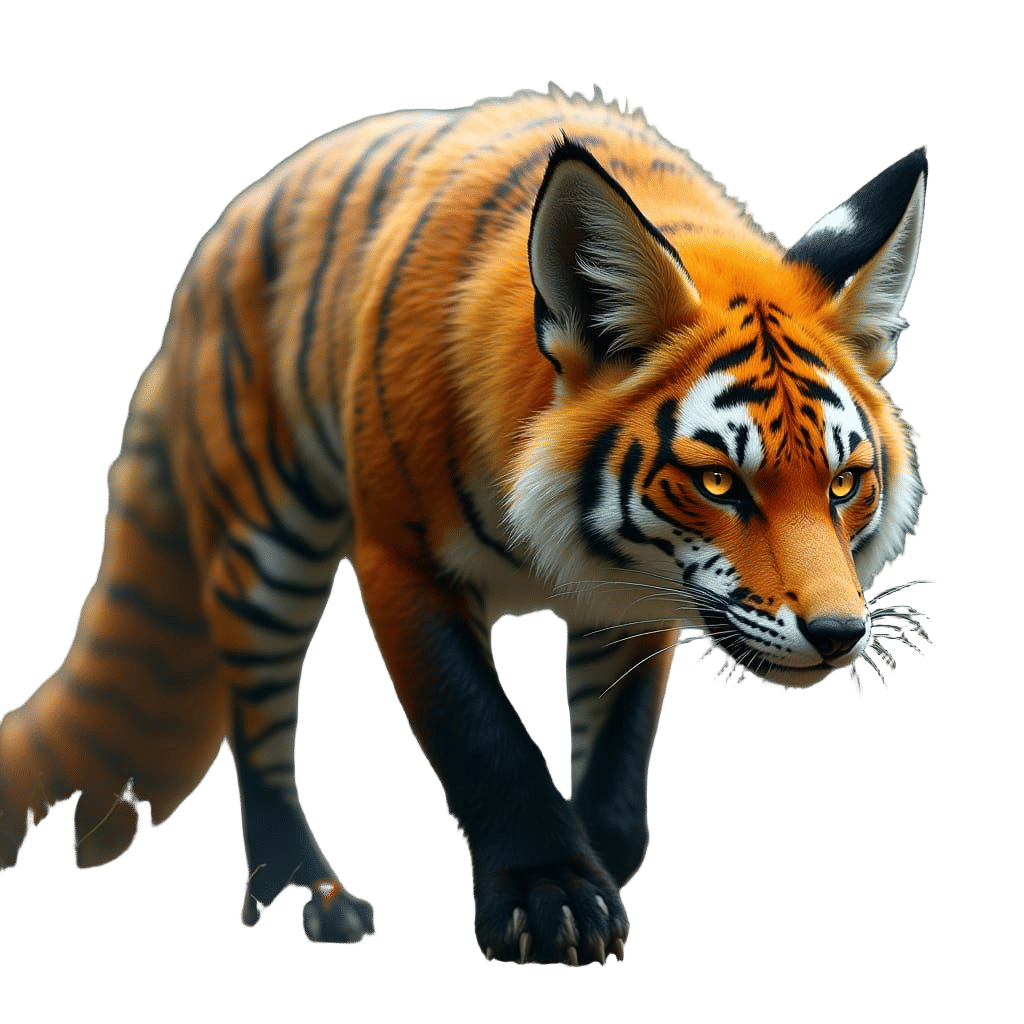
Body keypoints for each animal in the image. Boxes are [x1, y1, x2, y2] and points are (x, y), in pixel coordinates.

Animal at [0, 82, 929, 967]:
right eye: (718, 481)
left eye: (845, 483)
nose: (839, 634)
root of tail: (215, 243)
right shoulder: (403, 562)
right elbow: (482, 733)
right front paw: (550, 895)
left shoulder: (632, 600)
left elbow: (617, 762)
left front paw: (597, 860)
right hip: (269, 541)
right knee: (257, 727)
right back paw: (309, 893)